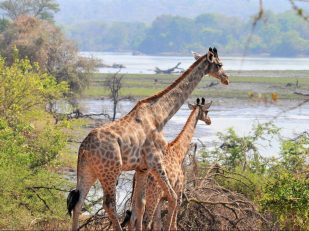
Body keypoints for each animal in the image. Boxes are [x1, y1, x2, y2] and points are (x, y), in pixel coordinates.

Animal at [66, 47, 227, 230]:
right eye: (219, 64)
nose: (226, 78)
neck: (159, 116)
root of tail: (83, 148)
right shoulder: (155, 160)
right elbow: (171, 197)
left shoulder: (142, 168)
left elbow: (139, 207)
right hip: (111, 171)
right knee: (108, 204)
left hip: (88, 170)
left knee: (78, 202)